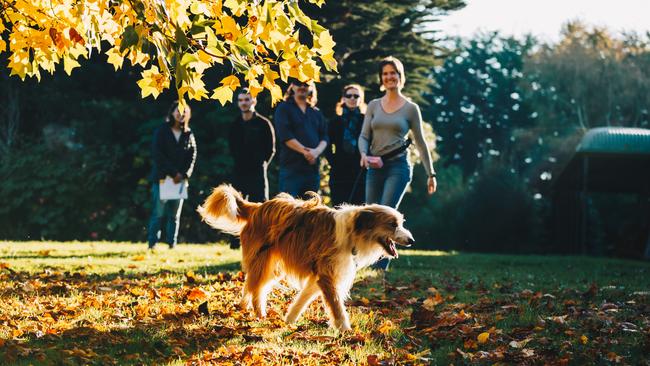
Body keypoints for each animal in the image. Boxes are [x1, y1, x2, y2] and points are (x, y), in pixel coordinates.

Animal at [195, 184, 412, 330]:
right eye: (393, 224)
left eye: (400, 223)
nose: (411, 240)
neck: (352, 231)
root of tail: (258, 207)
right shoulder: (326, 276)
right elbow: (336, 306)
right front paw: (345, 330)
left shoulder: (319, 278)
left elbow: (301, 300)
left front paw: (289, 320)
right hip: (264, 262)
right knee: (257, 289)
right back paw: (260, 314)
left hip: (271, 267)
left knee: (252, 285)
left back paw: (245, 307)